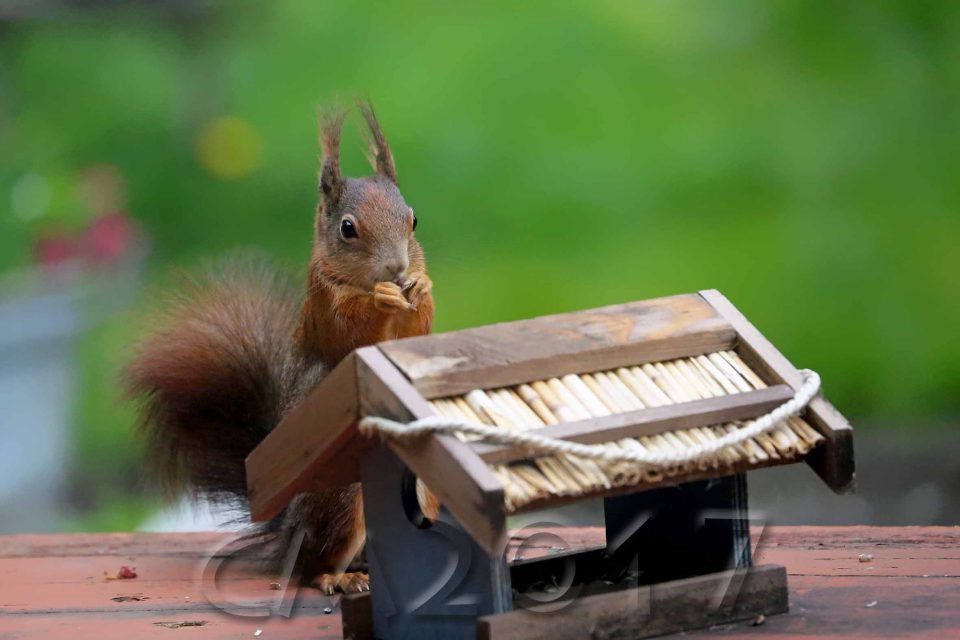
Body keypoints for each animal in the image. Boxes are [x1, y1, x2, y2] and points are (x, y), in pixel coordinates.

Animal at [124, 100, 434, 594]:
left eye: (413, 219)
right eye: (348, 229)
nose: (397, 268)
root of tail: (286, 529)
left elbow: (417, 334)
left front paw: (420, 287)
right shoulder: (326, 308)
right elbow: (352, 335)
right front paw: (382, 299)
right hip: (341, 496)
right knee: (310, 567)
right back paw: (339, 576)